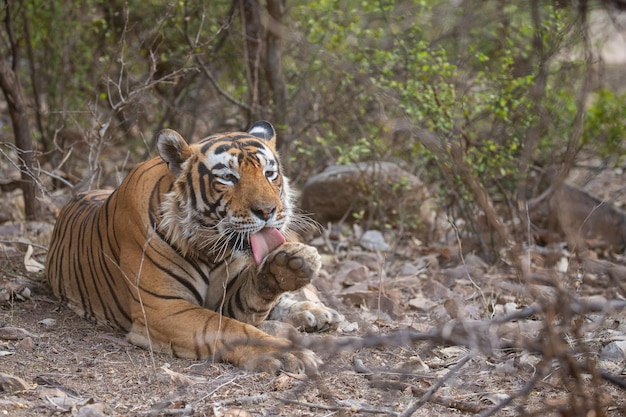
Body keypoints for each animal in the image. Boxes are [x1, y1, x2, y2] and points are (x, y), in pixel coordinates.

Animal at [45, 119, 342, 370]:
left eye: (270, 173)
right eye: (228, 177)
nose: (268, 211)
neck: (211, 251)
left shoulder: (226, 298)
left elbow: (255, 297)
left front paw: (285, 269)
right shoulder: (164, 309)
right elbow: (229, 328)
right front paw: (289, 354)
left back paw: (316, 309)